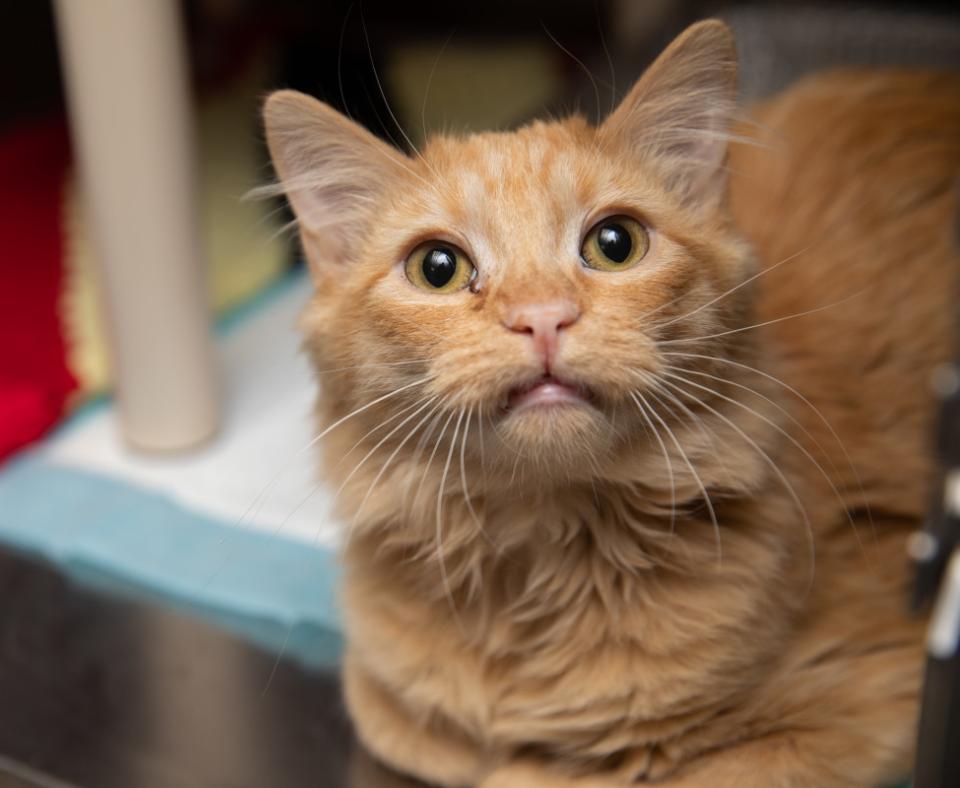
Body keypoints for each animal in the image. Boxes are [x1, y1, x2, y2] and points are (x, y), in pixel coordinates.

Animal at [262, 18, 960, 788]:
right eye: (437, 268)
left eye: (615, 244)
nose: (542, 317)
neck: (540, 559)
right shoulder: (393, 708)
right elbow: (422, 737)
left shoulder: (867, 698)